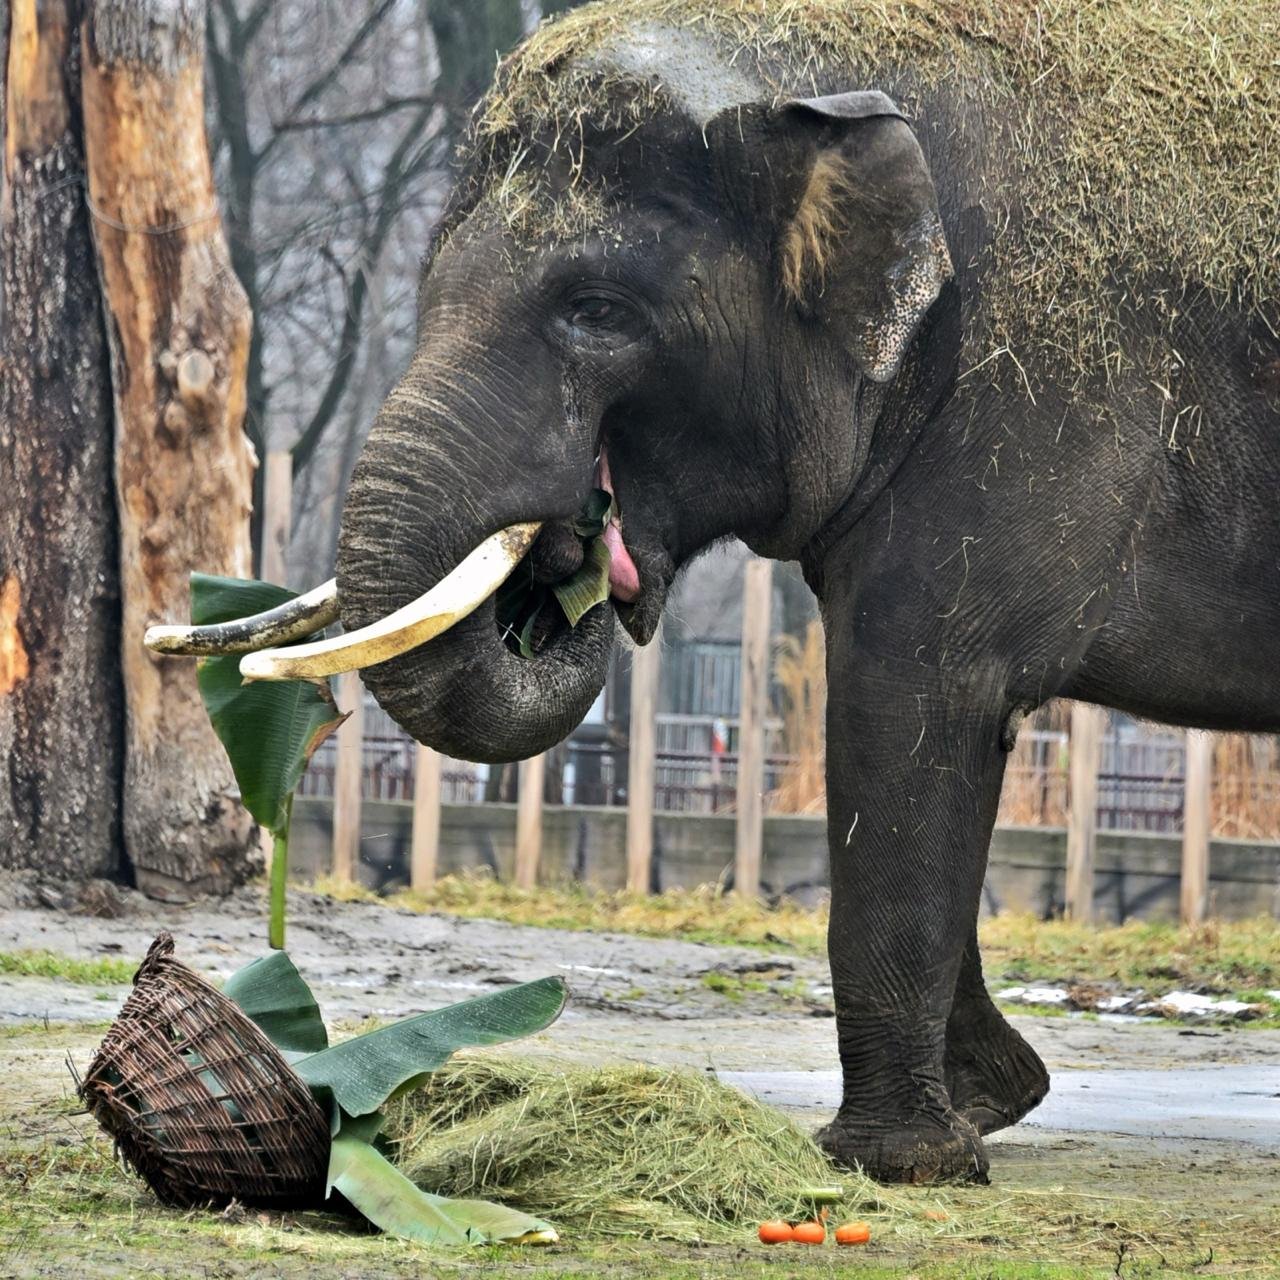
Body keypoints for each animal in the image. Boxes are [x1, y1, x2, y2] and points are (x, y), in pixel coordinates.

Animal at [160, 1, 1279, 1182]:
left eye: (598, 309)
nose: (579, 547)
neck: (813, 69)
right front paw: (992, 1103)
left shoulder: (1024, 394)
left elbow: (914, 699)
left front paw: (899, 1162)